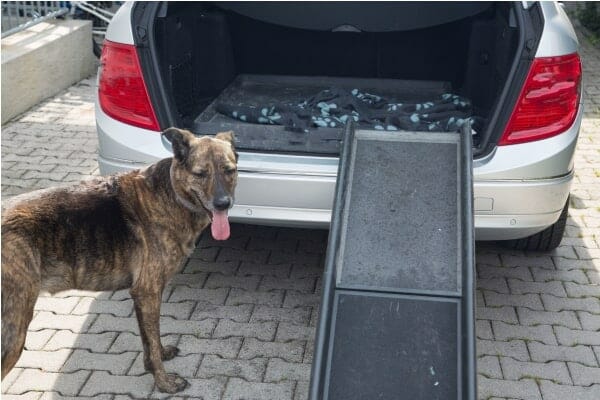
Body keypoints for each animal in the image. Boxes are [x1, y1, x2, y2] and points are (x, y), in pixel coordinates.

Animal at [1, 128, 239, 394]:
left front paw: (156, 360)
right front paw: (164, 382)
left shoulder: (144, 296)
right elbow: (152, 340)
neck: (171, 194)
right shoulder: (148, 292)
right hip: (13, 329)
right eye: (200, 174)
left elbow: (150, 340)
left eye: (229, 170)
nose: (223, 204)